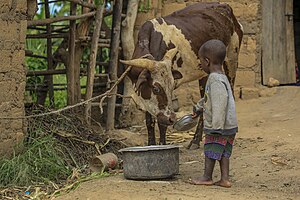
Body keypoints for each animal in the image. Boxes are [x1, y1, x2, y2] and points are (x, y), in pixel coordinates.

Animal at [120, 1, 244, 148]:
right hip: (204, 74)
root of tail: (225, 6)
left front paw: (162, 145)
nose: (172, 118)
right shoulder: (146, 98)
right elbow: (149, 122)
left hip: (232, 59)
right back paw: (196, 140)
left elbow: (162, 124)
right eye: (155, 88)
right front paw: (151, 145)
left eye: (171, 87)